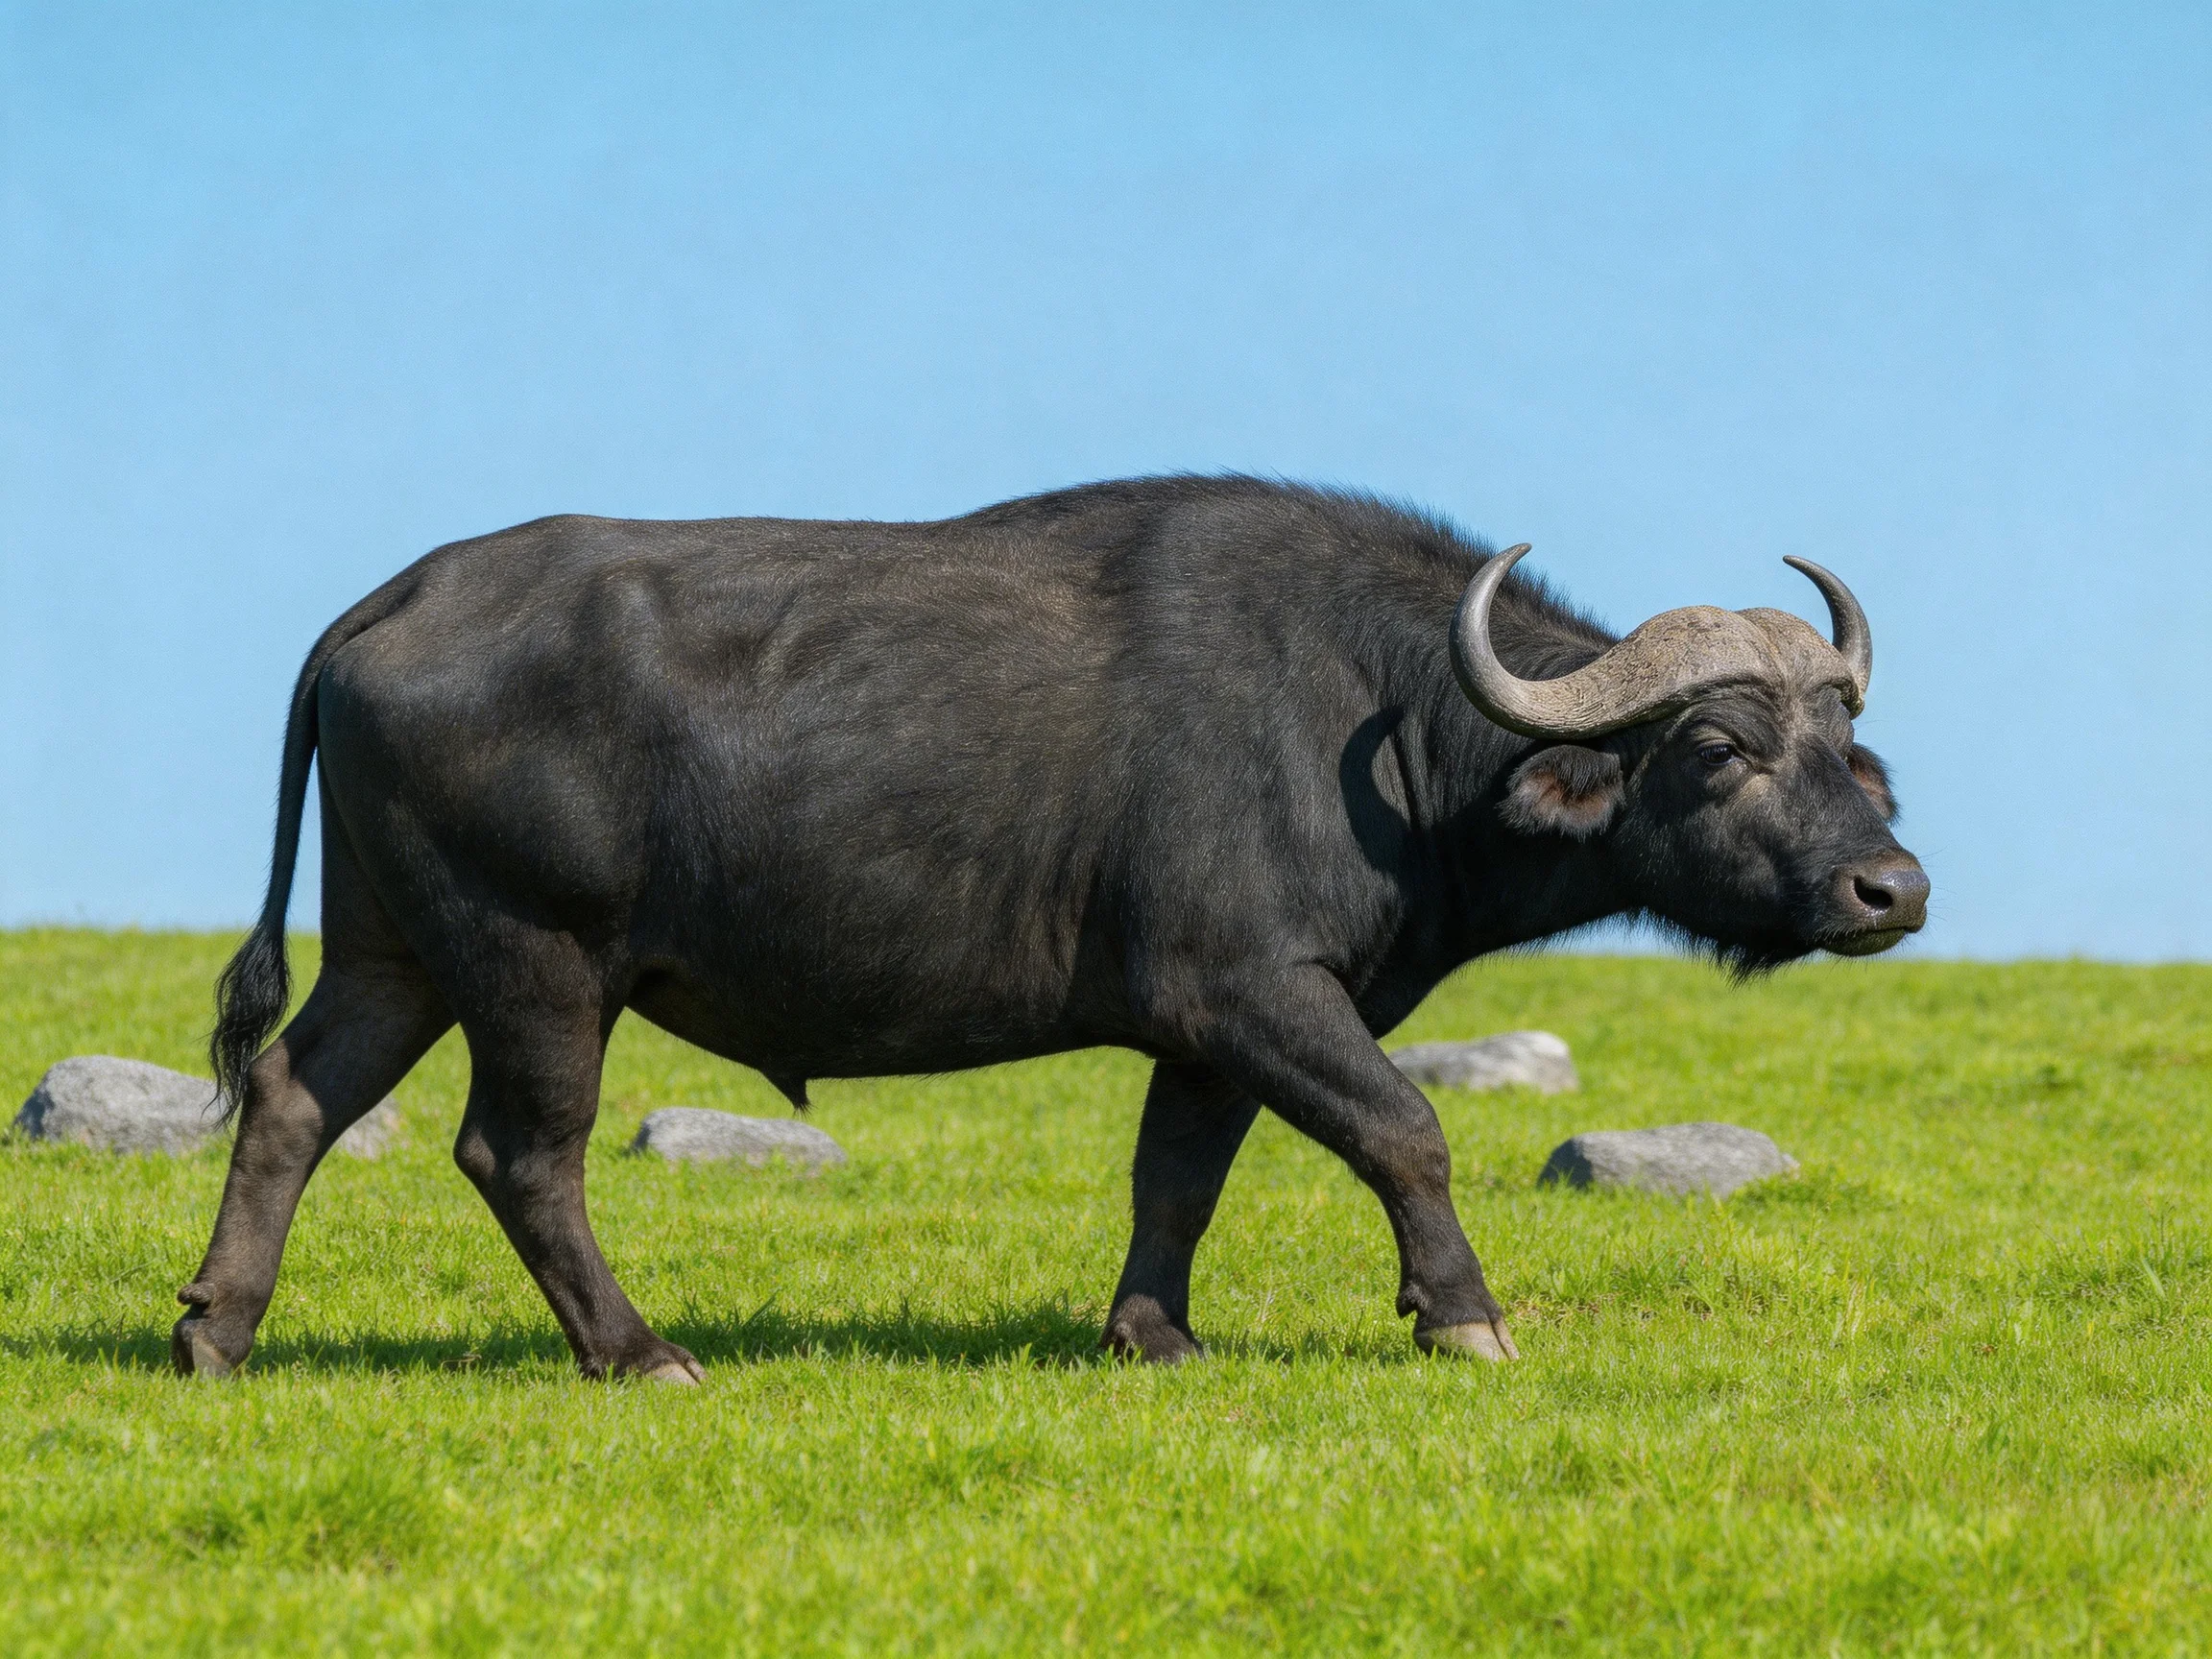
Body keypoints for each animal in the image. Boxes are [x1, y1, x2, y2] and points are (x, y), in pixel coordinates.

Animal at [174, 477, 1927, 1380]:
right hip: (537, 963)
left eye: (1846, 745)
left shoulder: (1211, 1030)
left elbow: (1178, 1176)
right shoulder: (1256, 991)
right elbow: (1404, 1129)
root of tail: (385, 607)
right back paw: (639, 1349)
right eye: (1716, 746)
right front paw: (1462, 1314)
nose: (1889, 891)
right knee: (519, 1154)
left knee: (294, 1099)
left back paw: (217, 1330)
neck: (1380, 721)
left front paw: (1150, 1332)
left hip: (397, 952)